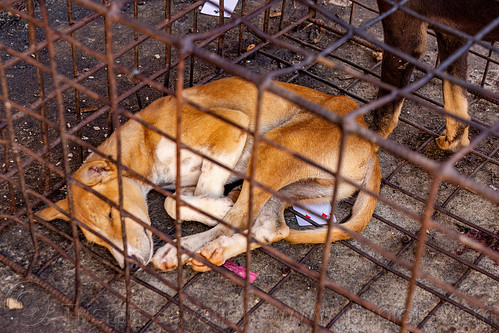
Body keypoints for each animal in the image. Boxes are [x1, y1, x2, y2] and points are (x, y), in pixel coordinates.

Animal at [37, 78, 380, 272]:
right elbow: (175, 200)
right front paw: (206, 205)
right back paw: (211, 250)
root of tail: (372, 148)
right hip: (291, 184)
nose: (131, 267)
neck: (144, 141)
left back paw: (187, 247)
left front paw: (214, 206)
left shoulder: (231, 126)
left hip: (276, 145)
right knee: (269, 227)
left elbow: (187, 198)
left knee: (241, 218)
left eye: (111, 213)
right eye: (97, 240)